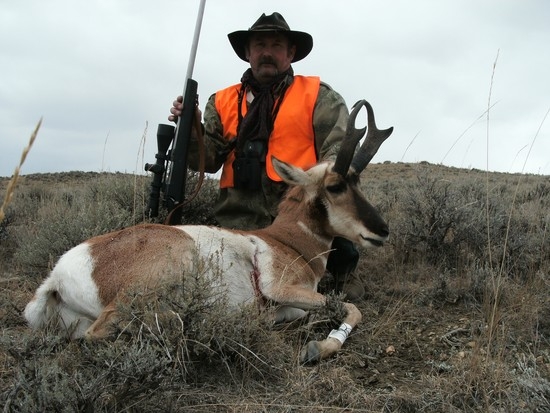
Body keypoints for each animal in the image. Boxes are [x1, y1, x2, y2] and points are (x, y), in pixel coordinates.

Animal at [22, 99, 392, 360]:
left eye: (359, 182)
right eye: (335, 186)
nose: (383, 231)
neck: (287, 242)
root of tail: (59, 275)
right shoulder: (281, 288)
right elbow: (352, 308)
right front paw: (319, 347)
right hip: (168, 267)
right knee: (111, 328)